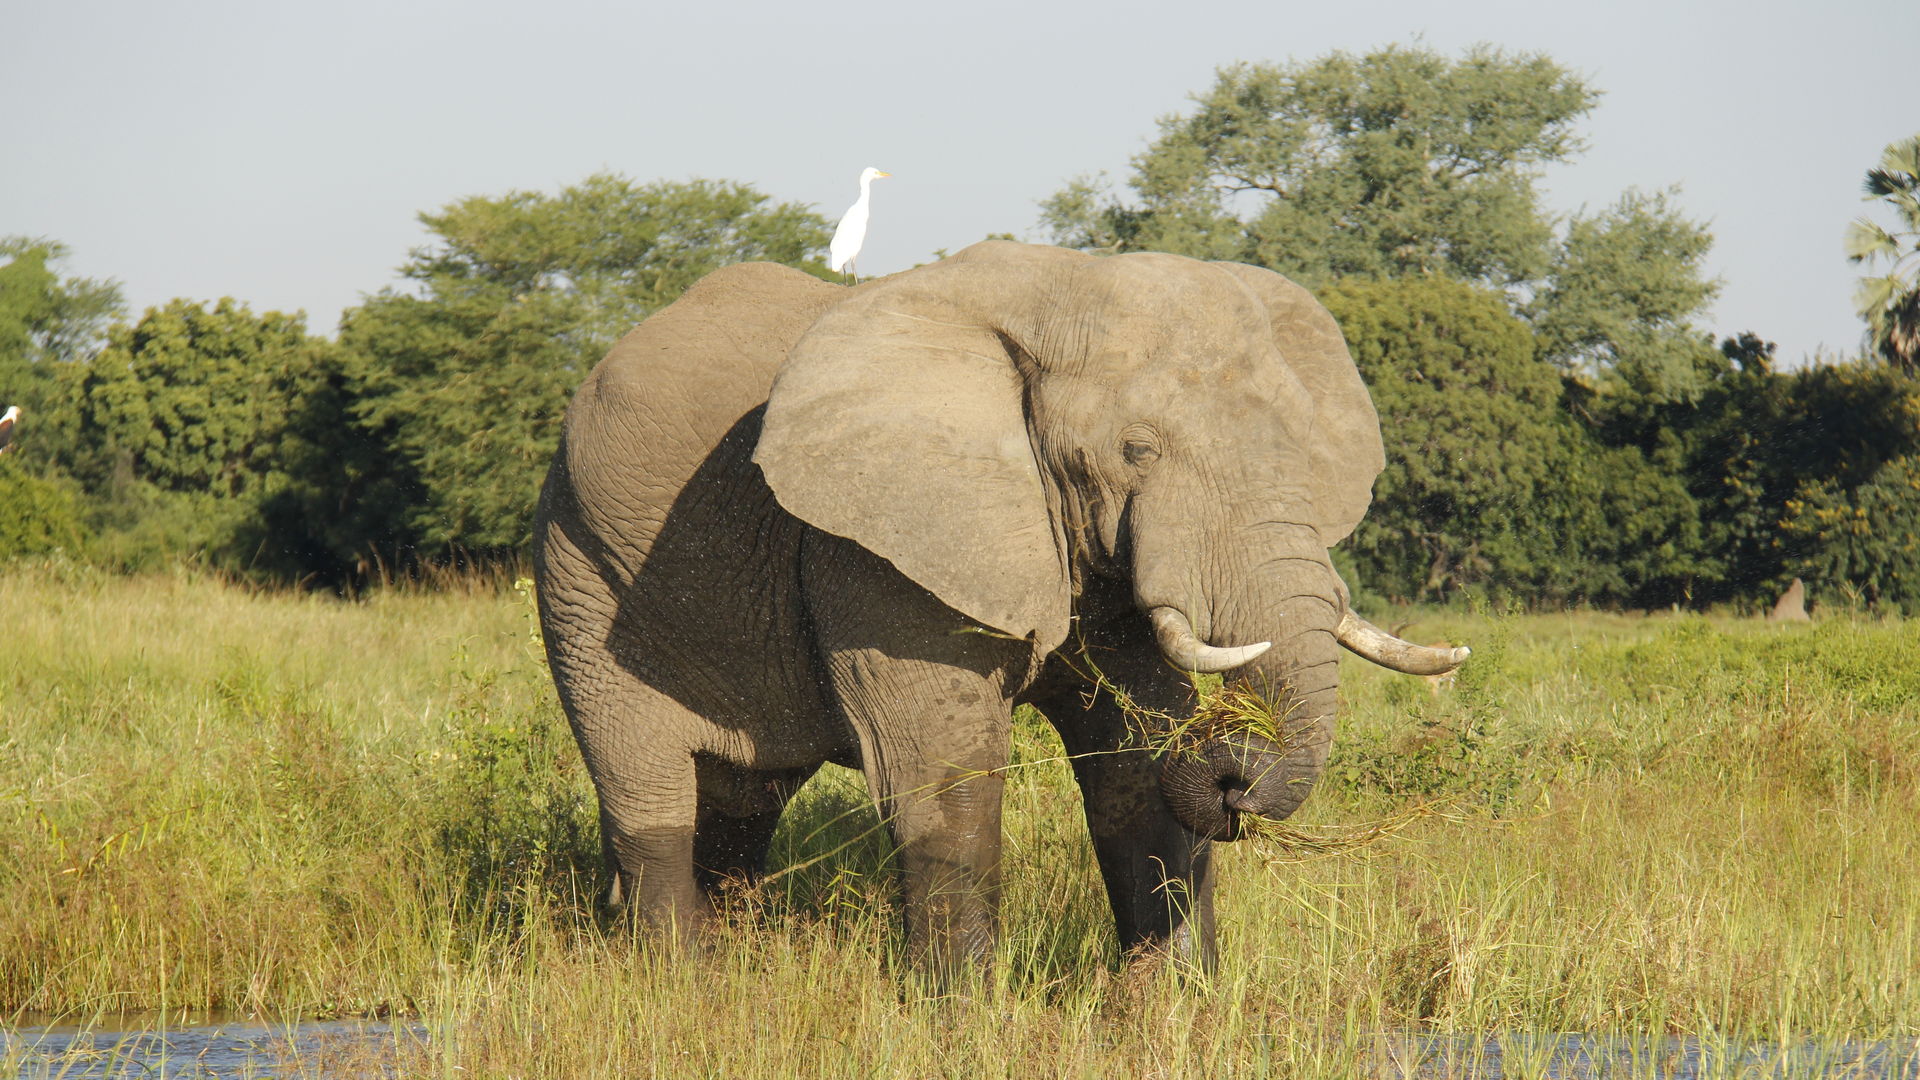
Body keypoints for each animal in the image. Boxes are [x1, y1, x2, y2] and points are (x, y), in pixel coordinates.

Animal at [533, 239, 1459, 972]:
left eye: (1305, 447)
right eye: (1137, 450)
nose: (1233, 780)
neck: (1057, 292)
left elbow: (1134, 766)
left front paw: (1172, 1005)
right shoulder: (871, 543)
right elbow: (944, 775)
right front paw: (961, 1017)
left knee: (741, 804)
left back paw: (739, 962)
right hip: (576, 577)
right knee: (651, 799)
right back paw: (687, 983)